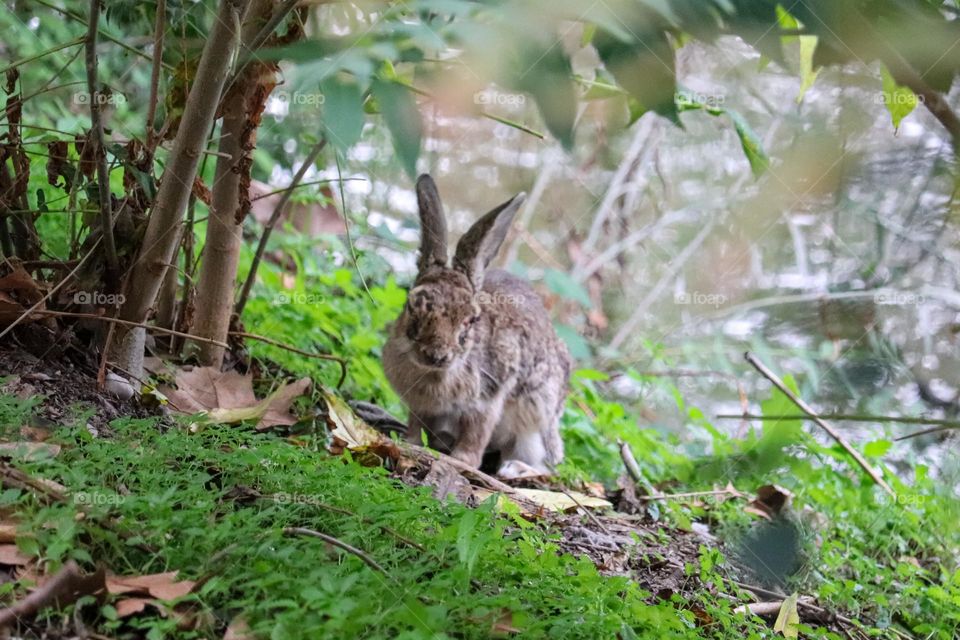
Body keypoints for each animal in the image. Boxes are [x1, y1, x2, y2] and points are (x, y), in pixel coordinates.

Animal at [380, 175, 568, 480]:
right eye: (412, 304)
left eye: (472, 319)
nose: (436, 355)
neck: (435, 373)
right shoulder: (421, 407)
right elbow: (418, 424)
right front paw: (411, 442)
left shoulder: (489, 397)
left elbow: (477, 432)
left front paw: (463, 460)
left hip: (537, 419)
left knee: (546, 465)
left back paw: (514, 469)